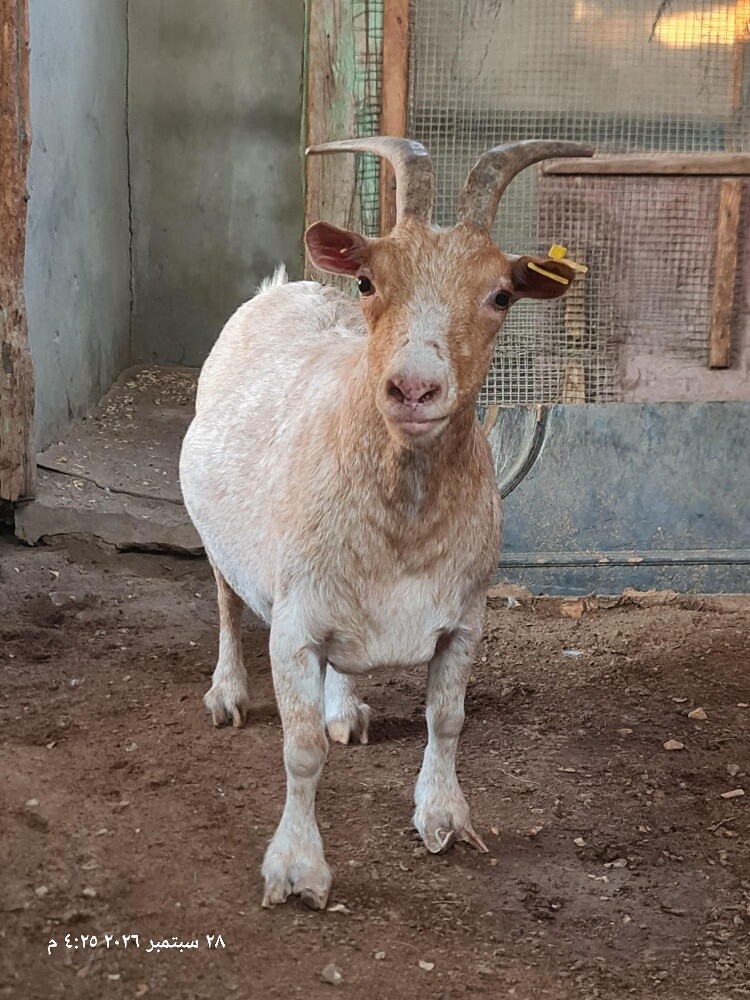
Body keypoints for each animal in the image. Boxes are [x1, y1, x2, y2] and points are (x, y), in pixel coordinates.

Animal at [179, 137, 593, 910]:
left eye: (501, 294)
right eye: (369, 282)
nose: (413, 388)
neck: (403, 521)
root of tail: (285, 286)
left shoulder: (464, 617)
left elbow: (447, 719)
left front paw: (443, 817)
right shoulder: (293, 621)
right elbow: (300, 749)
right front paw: (297, 869)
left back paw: (344, 707)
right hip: (218, 532)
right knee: (222, 598)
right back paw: (227, 693)